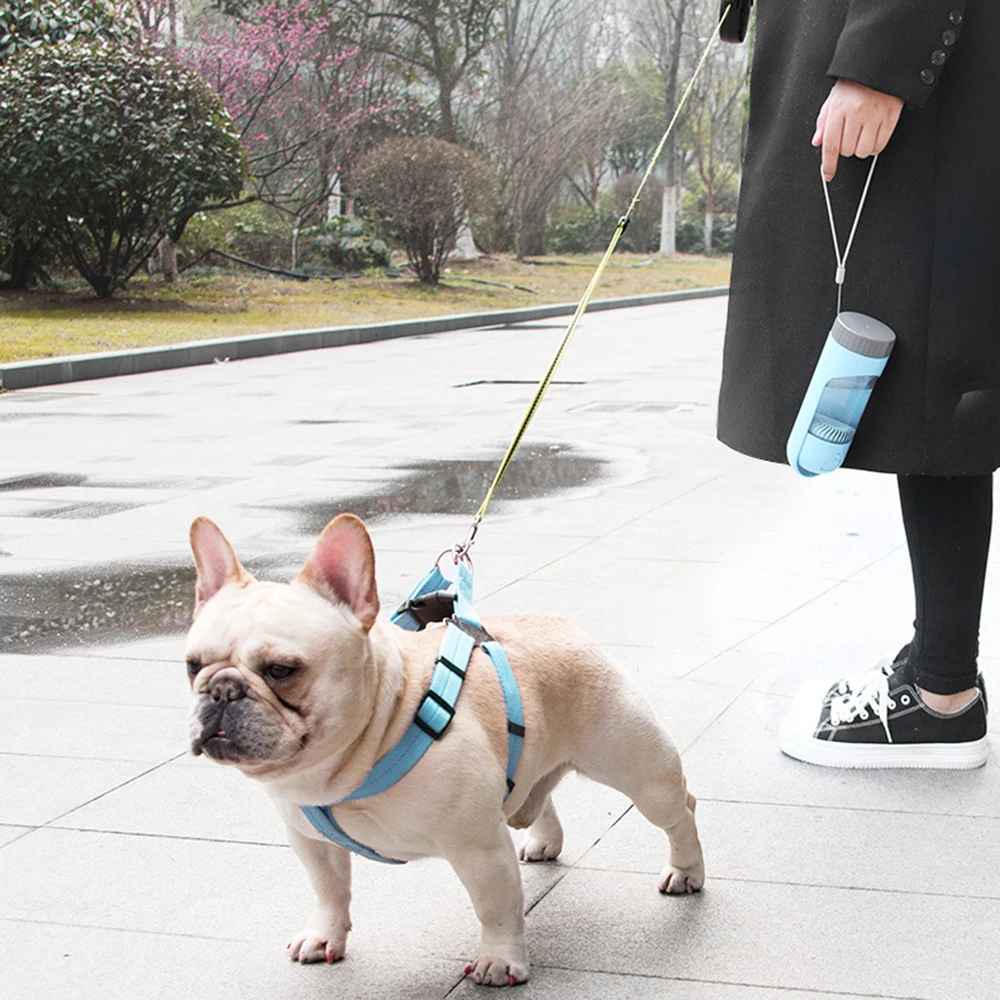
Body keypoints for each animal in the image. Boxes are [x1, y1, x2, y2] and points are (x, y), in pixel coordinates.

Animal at [186, 516, 704, 984]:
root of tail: (562, 625)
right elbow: (329, 891)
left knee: (680, 811)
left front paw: (500, 961)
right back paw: (544, 840)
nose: (222, 690)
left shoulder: (478, 848)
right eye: (192, 665)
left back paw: (686, 871)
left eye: (281, 670)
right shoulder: (311, 843)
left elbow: (496, 908)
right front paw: (324, 935)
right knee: (535, 792)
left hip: (640, 771)